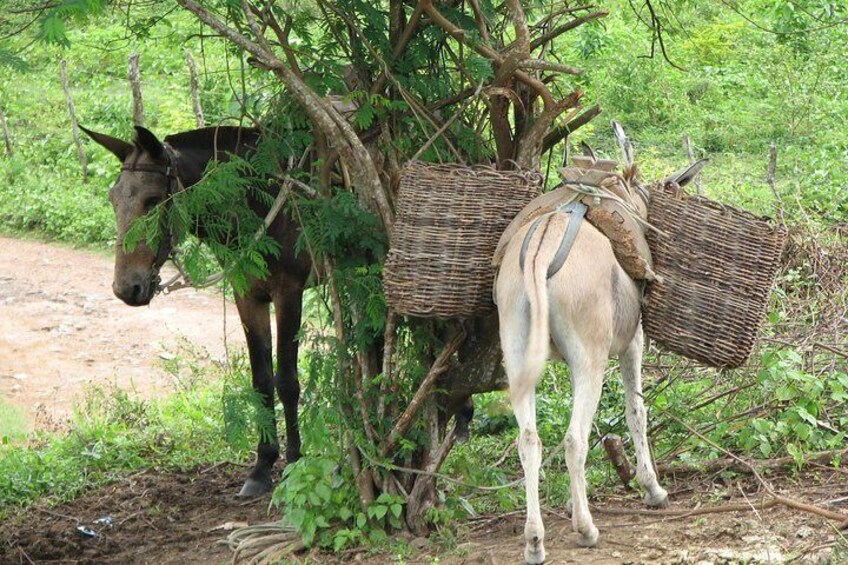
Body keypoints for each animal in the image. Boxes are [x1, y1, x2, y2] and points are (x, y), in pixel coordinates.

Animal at [79, 124, 310, 494]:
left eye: (153, 200)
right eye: (113, 200)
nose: (125, 289)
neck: (260, 197)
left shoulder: (289, 292)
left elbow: (287, 382)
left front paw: (294, 466)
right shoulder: (247, 294)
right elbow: (261, 380)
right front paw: (261, 467)